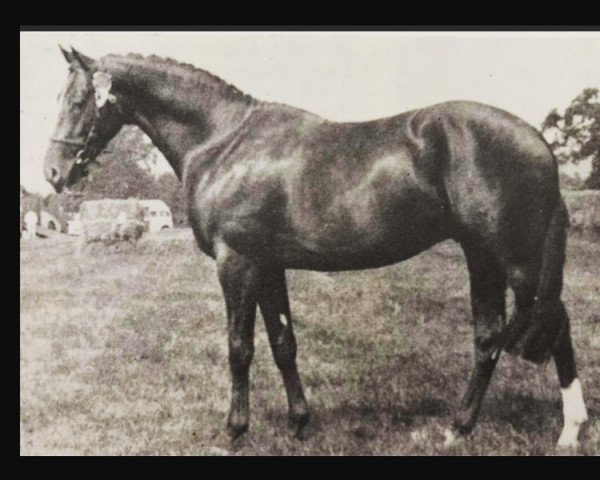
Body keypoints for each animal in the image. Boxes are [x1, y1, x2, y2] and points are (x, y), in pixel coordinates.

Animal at [44, 47, 588, 448]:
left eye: (78, 100)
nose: (53, 172)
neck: (223, 142)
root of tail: (539, 142)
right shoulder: (267, 266)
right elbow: (283, 344)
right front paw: (299, 422)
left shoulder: (236, 263)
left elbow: (239, 347)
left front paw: (234, 431)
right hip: (482, 256)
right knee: (490, 337)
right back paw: (460, 428)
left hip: (517, 259)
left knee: (555, 326)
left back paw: (568, 431)